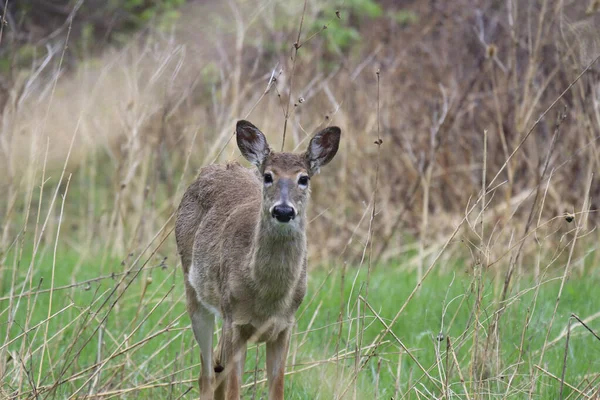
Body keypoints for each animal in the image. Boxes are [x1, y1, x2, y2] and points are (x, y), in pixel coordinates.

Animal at [176, 120, 340, 398]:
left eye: (303, 178)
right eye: (268, 176)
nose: (283, 210)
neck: (266, 298)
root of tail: (212, 167)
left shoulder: (284, 327)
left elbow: (277, 390)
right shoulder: (236, 323)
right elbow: (234, 391)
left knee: (216, 366)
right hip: (196, 294)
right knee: (206, 374)